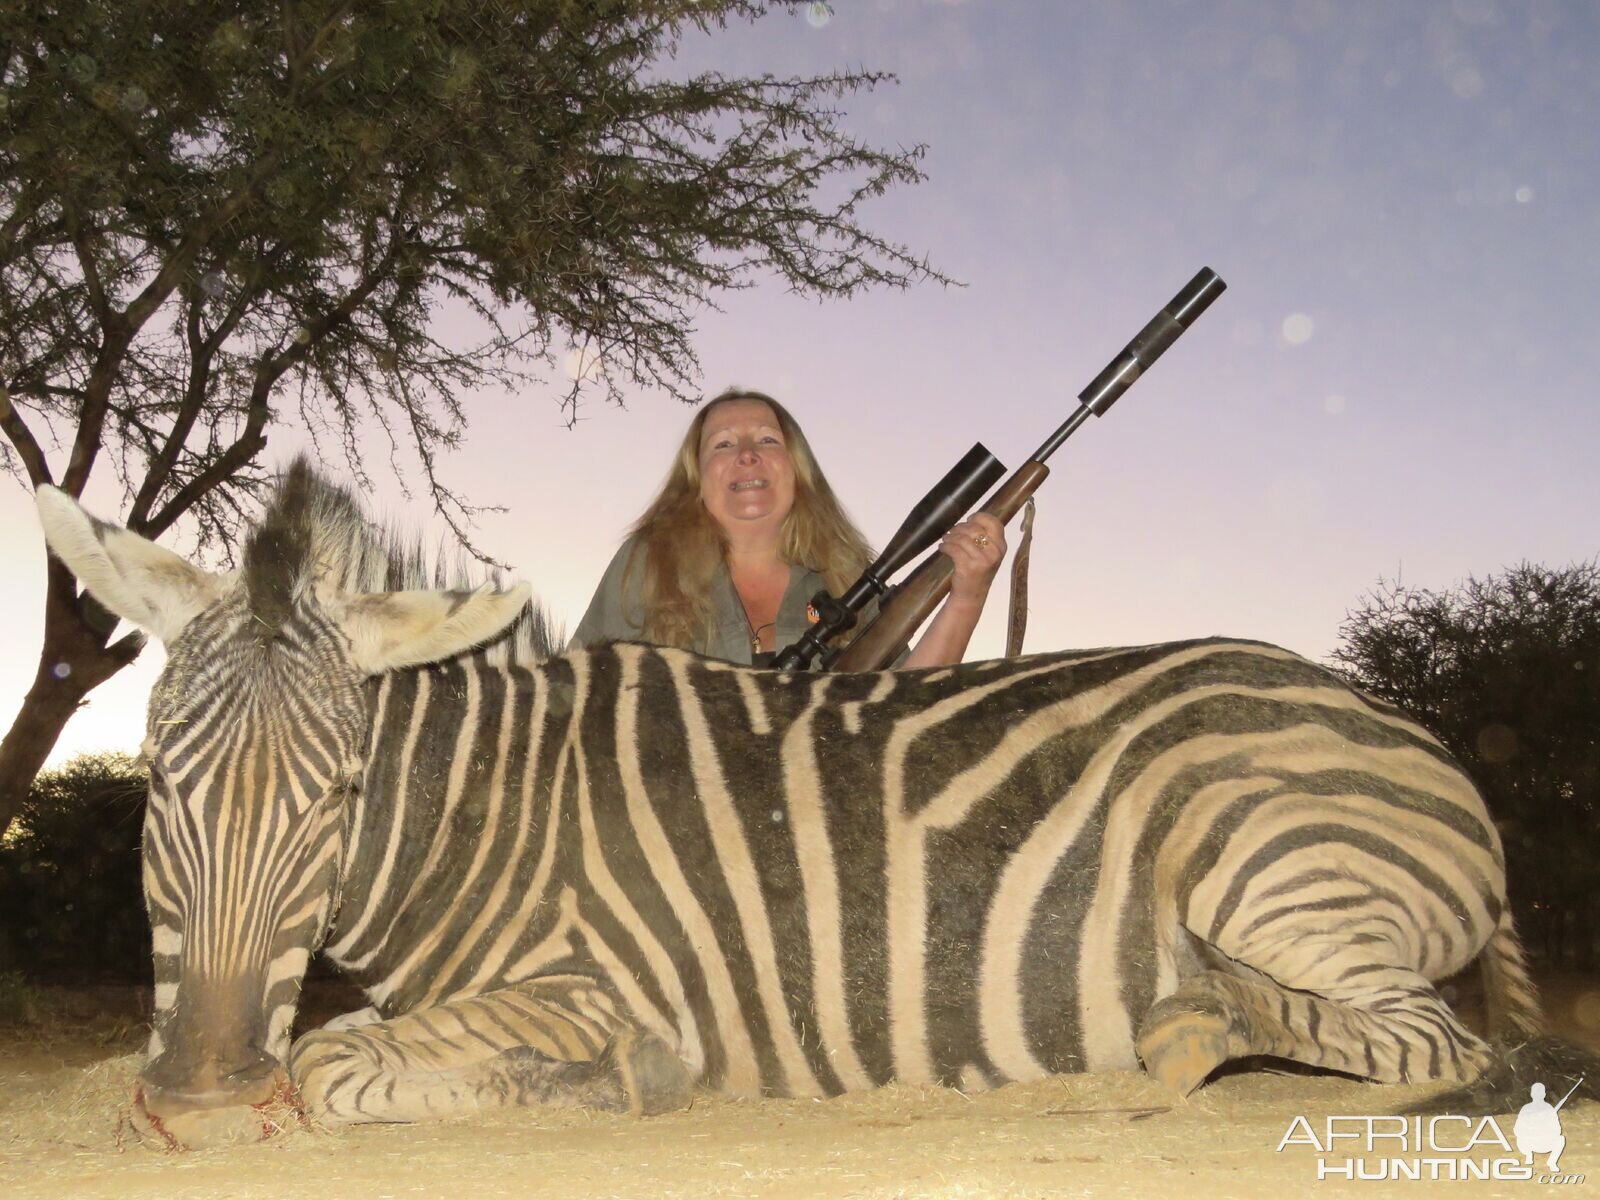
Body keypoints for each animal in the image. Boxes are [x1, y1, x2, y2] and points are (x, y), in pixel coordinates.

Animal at [31, 457, 1542, 1145]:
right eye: (160, 785)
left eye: (339, 793)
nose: (208, 1096)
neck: (482, 814)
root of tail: (1410, 735)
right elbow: (311, 1041)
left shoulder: (610, 980)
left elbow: (345, 1064)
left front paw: (603, 1083)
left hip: (1263, 862)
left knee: (1430, 1040)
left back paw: (1196, 1027)